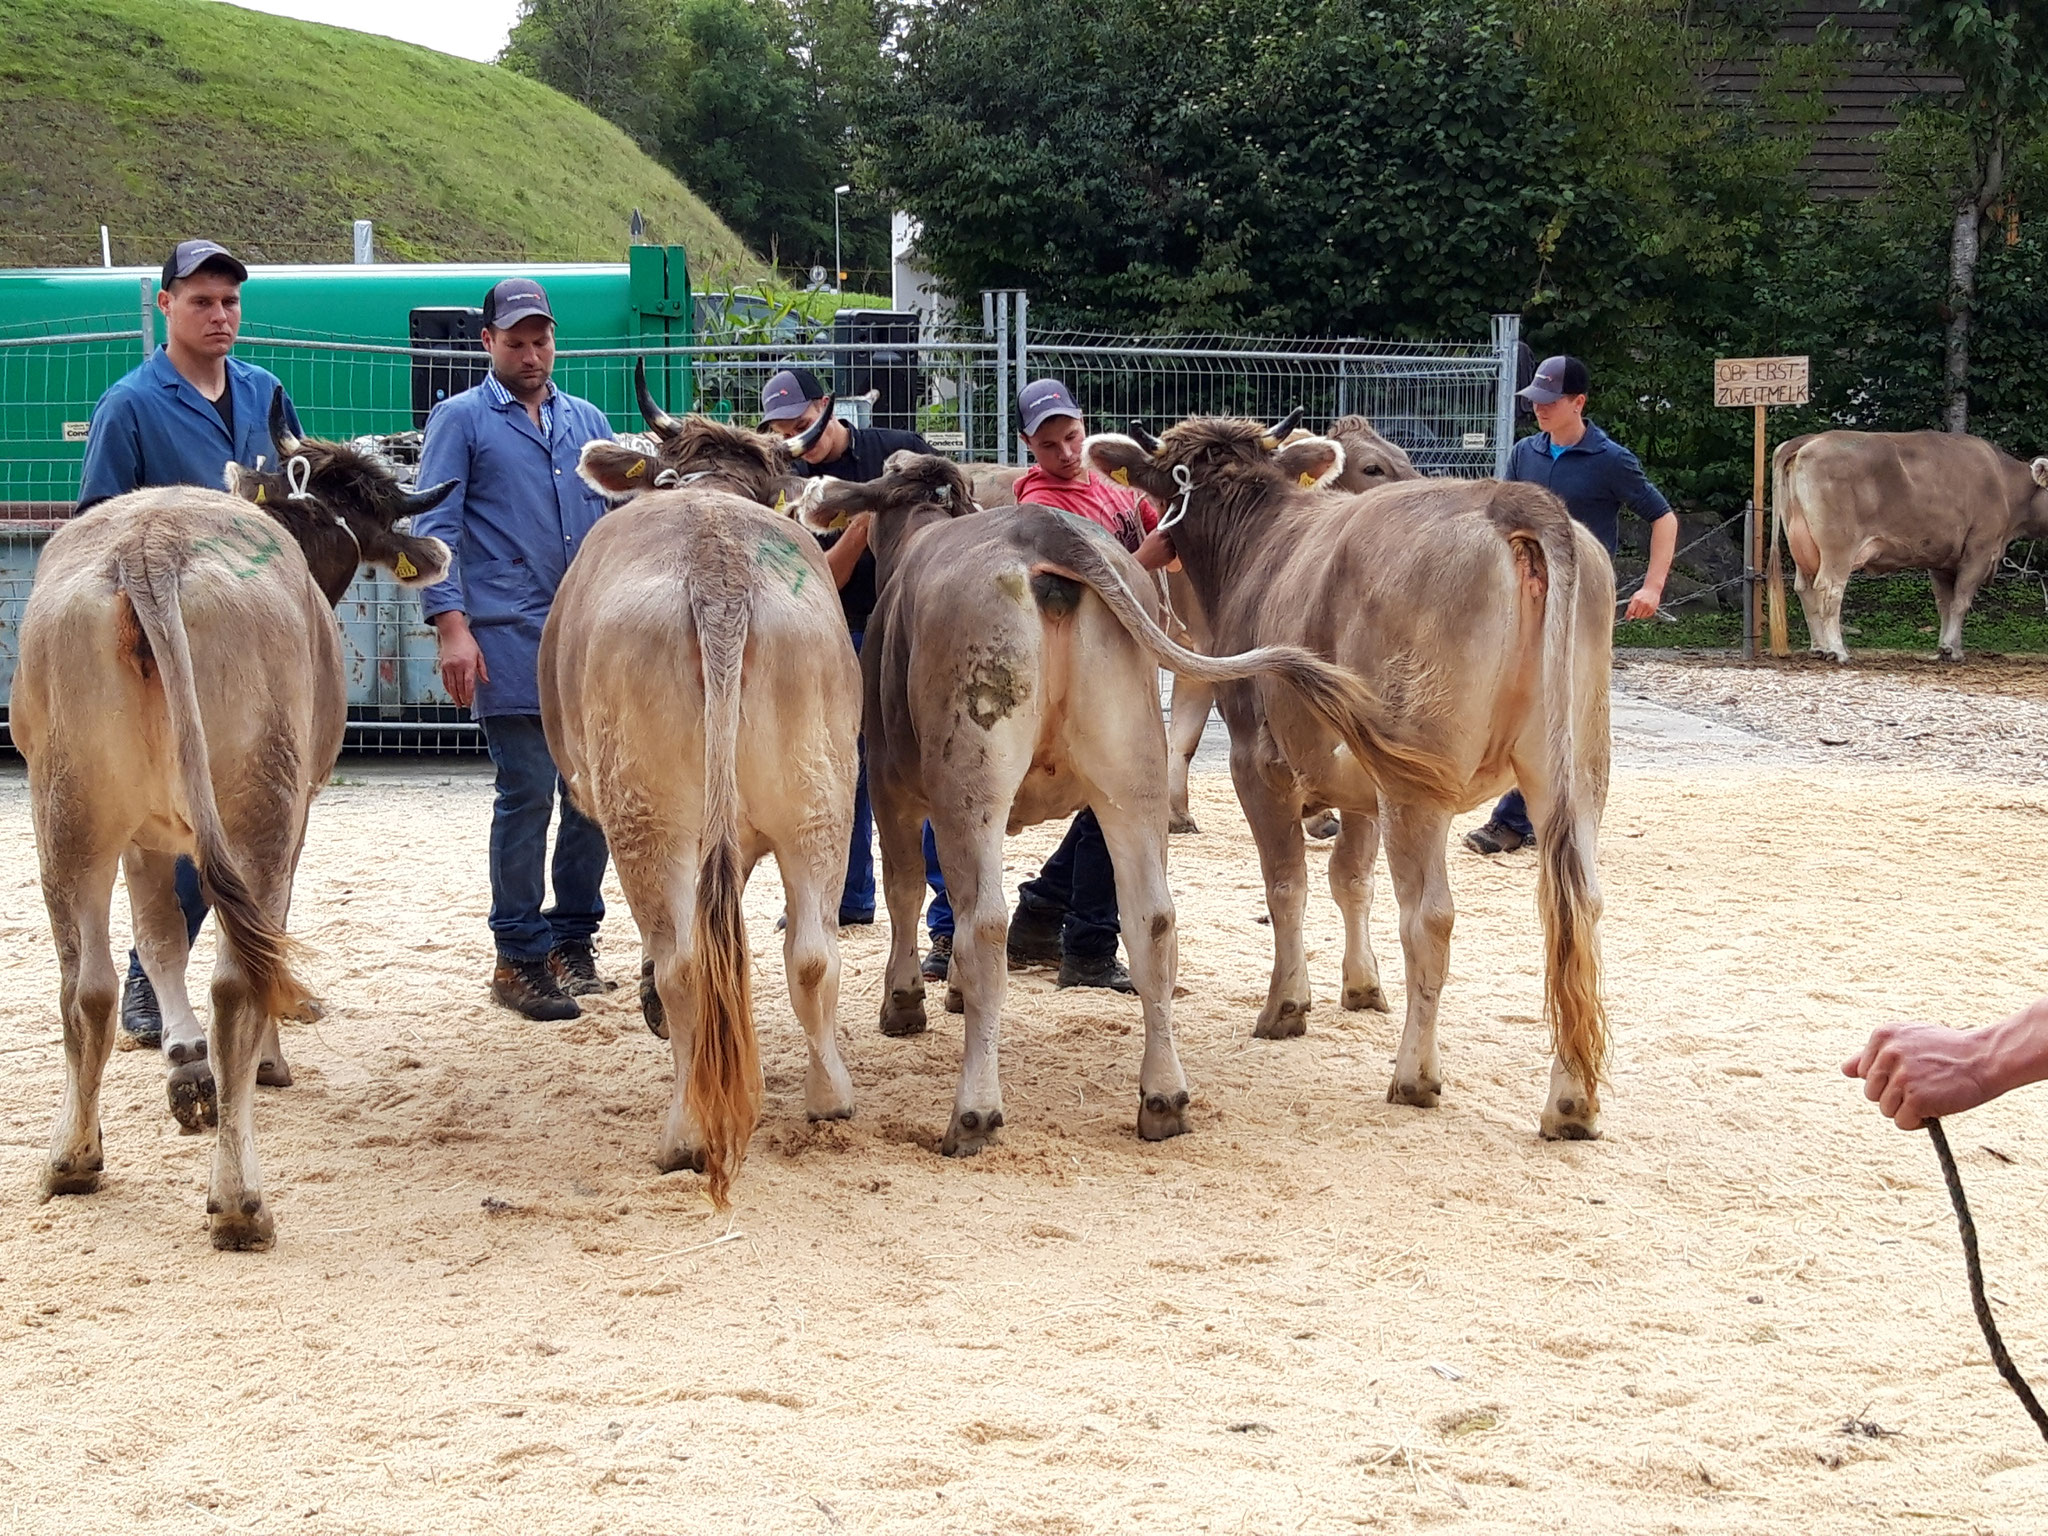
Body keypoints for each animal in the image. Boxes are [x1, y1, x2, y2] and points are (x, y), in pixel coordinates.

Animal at [794, 454, 1425, 1155]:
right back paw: (1164, 1098)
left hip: (970, 778)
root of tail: (1044, 533)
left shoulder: (889, 780)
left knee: (985, 921)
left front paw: (904, 1002)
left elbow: (907, 889)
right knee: (1152, 918)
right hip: (1133, 769)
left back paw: (974, 1112)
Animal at [1089, 409, 1613, 1146]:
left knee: (1430, 917)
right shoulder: (1364, 785)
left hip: (1418, 779)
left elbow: (1287, 884)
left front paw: (1287, 1005)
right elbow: (1351, 881)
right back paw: (1570, 1103)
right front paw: (1362, 988)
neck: (1259, 536)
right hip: (1573, 770)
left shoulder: (1258, 759)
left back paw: (1415, 1077)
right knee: (1576, 907)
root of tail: (1512, 498)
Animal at [1761, 428, 2048, 663]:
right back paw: (1837, 651)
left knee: (1805, 588)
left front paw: (1945, 648)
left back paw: (1819, 648)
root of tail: (1811, 439)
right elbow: (1960, 601)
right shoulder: (1979, 550)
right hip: (1838, 547)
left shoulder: (1942, 560)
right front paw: (1952, 650)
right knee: (1830, 589)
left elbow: (1944, 603)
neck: (2004, 483)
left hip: (1801, 544)